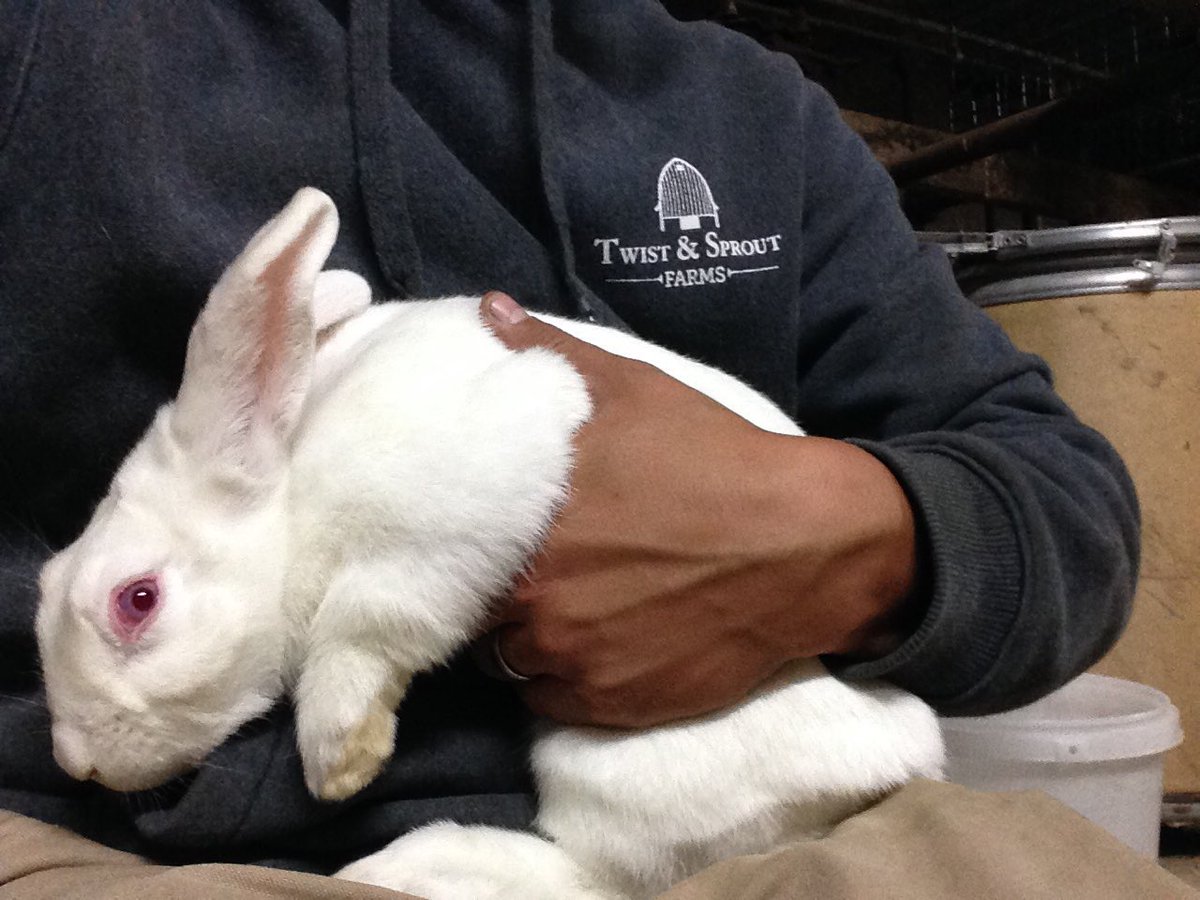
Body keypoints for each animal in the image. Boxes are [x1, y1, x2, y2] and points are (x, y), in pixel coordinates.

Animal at [36, 187, 944, 899]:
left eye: (136, 600)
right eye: (41, 589)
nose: (75, 764)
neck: (293, 484)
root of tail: (895, 768)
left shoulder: (460, 507)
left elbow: (367, 622)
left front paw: (339, 754)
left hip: (623, 759)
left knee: (607, 877)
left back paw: (406, 865)